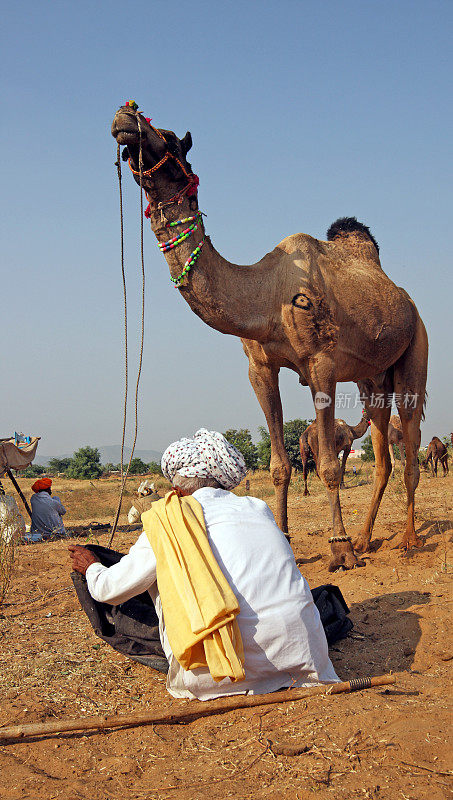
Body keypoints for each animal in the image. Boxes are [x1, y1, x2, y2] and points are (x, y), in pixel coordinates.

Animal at [112, 106, 428, 568]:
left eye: (168, 137)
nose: (125, 117)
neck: (265, 295)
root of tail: (406, 300)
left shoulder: (321, 364)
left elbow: (329, 464)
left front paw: (340, 549)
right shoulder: (259, 367)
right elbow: (280, 464)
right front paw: (286, 536)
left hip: (415, 347)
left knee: (409, 444)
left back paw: (406, 539)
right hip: (372, 377)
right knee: (383, 452)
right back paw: (369, 537)